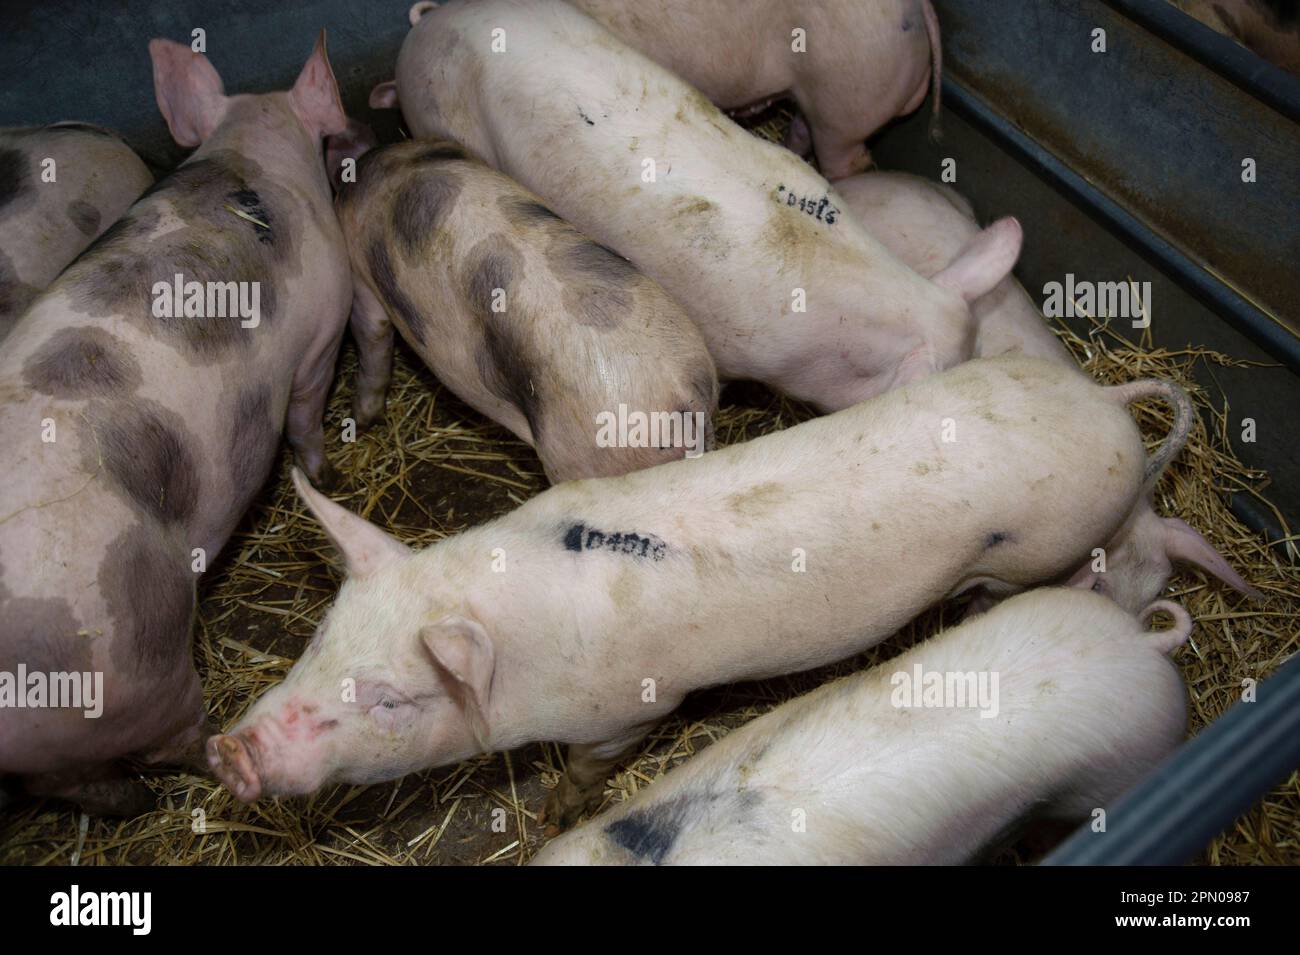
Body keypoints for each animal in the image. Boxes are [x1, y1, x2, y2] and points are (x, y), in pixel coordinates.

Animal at [208, 355, 1191, 828]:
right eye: (316, 641)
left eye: (388, 698)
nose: (229, 752)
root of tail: (1108, 400)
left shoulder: (630, 710)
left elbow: (589, 766)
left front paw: (556, 807)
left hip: (1052, 539)